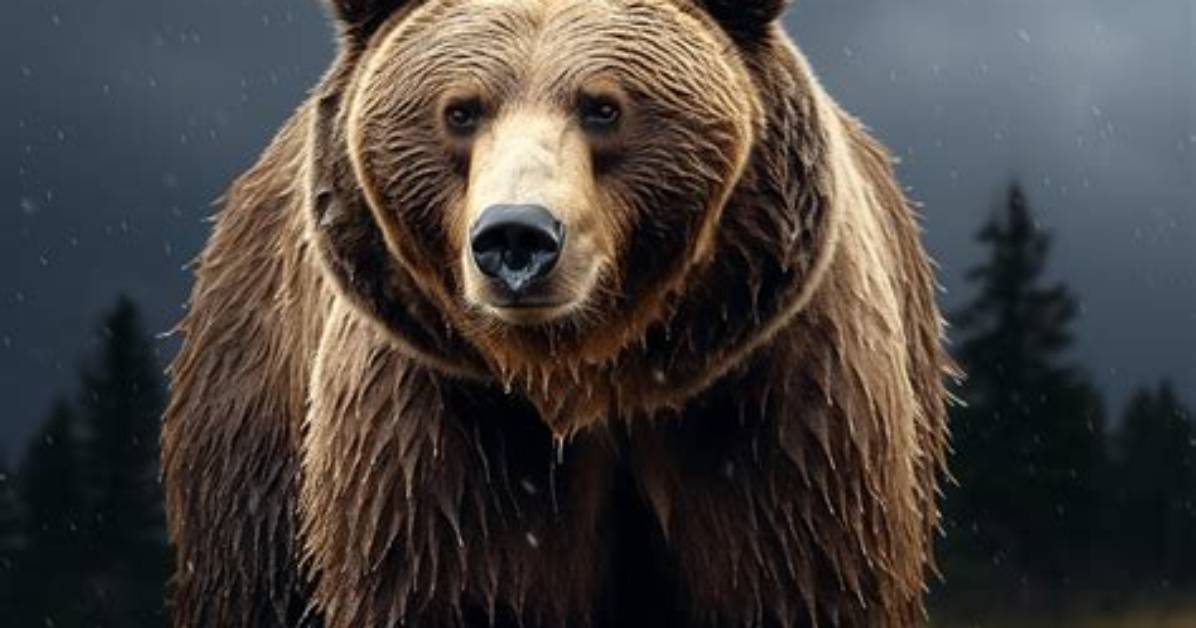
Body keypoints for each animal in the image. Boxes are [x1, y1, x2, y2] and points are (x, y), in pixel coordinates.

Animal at [161, 0, 952, 626]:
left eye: (604, 105)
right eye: (461, 109)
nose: (517, 237)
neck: (588, 374)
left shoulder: (775, 399)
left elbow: (794, 575)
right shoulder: (442, 420)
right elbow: (454, 583)